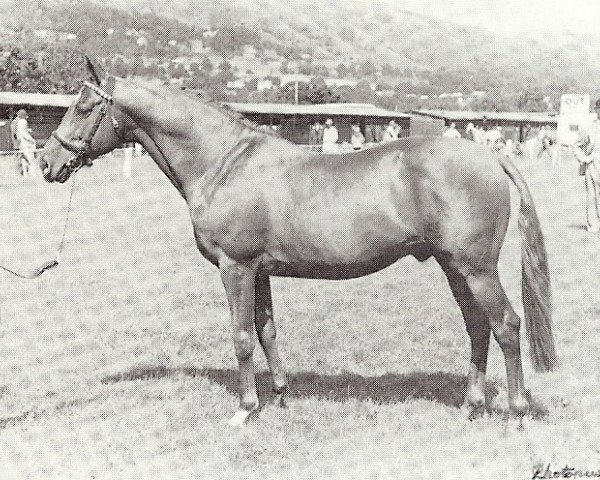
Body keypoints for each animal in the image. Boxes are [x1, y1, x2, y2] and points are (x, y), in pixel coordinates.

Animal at [41, 58, 556, 426]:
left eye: (83, 107)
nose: (47, 162)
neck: (223, 163)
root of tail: (488, 156)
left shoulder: (236, 267)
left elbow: (241, 336)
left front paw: (246, 408)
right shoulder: (260, 270)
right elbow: (266, 330)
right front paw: (281, 396)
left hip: (476, 268)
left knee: (506, 326)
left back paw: (515, 413)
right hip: (454, 268)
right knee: (477, 327)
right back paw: (471, 406)